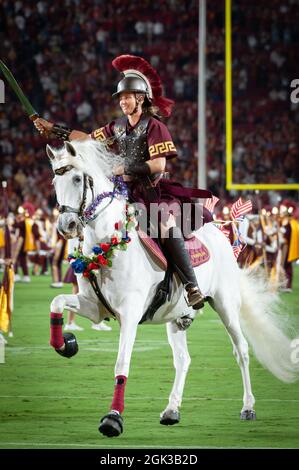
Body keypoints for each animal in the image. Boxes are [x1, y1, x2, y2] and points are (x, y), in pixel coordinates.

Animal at [47, 139, 298, 436]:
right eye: (54, 181)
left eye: (77, 178)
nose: (67, 226)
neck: (109, 242)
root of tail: (222, 235)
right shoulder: (94, 306)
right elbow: (56, 303)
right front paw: (66, 344)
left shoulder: (129, 314)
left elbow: (122, 362)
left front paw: (113, 418)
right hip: (175, 317)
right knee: (183, 360)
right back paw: (172, 410)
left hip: (226, 306)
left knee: (241, 351)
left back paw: (248, 407)